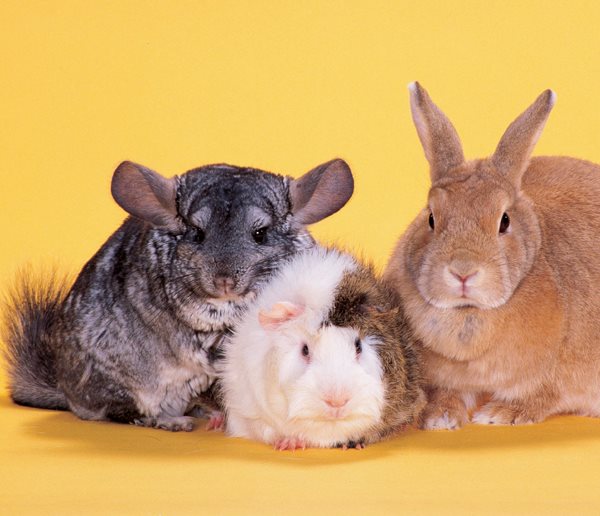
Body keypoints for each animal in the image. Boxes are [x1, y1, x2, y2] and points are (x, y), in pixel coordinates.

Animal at [2, 158, 354, 432]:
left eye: (260, 233)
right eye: (197, 233)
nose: (224, 281)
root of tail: (67, 392)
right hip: (121, 383)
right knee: (121, 413)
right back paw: (172, 422)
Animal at [384, 80, 600, 428]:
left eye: (504, 221)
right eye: (431, 218)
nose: (463, 270)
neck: (468, 313)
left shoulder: (561, 377)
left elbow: (544, 395)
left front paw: (500, 414)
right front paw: (441, 418)